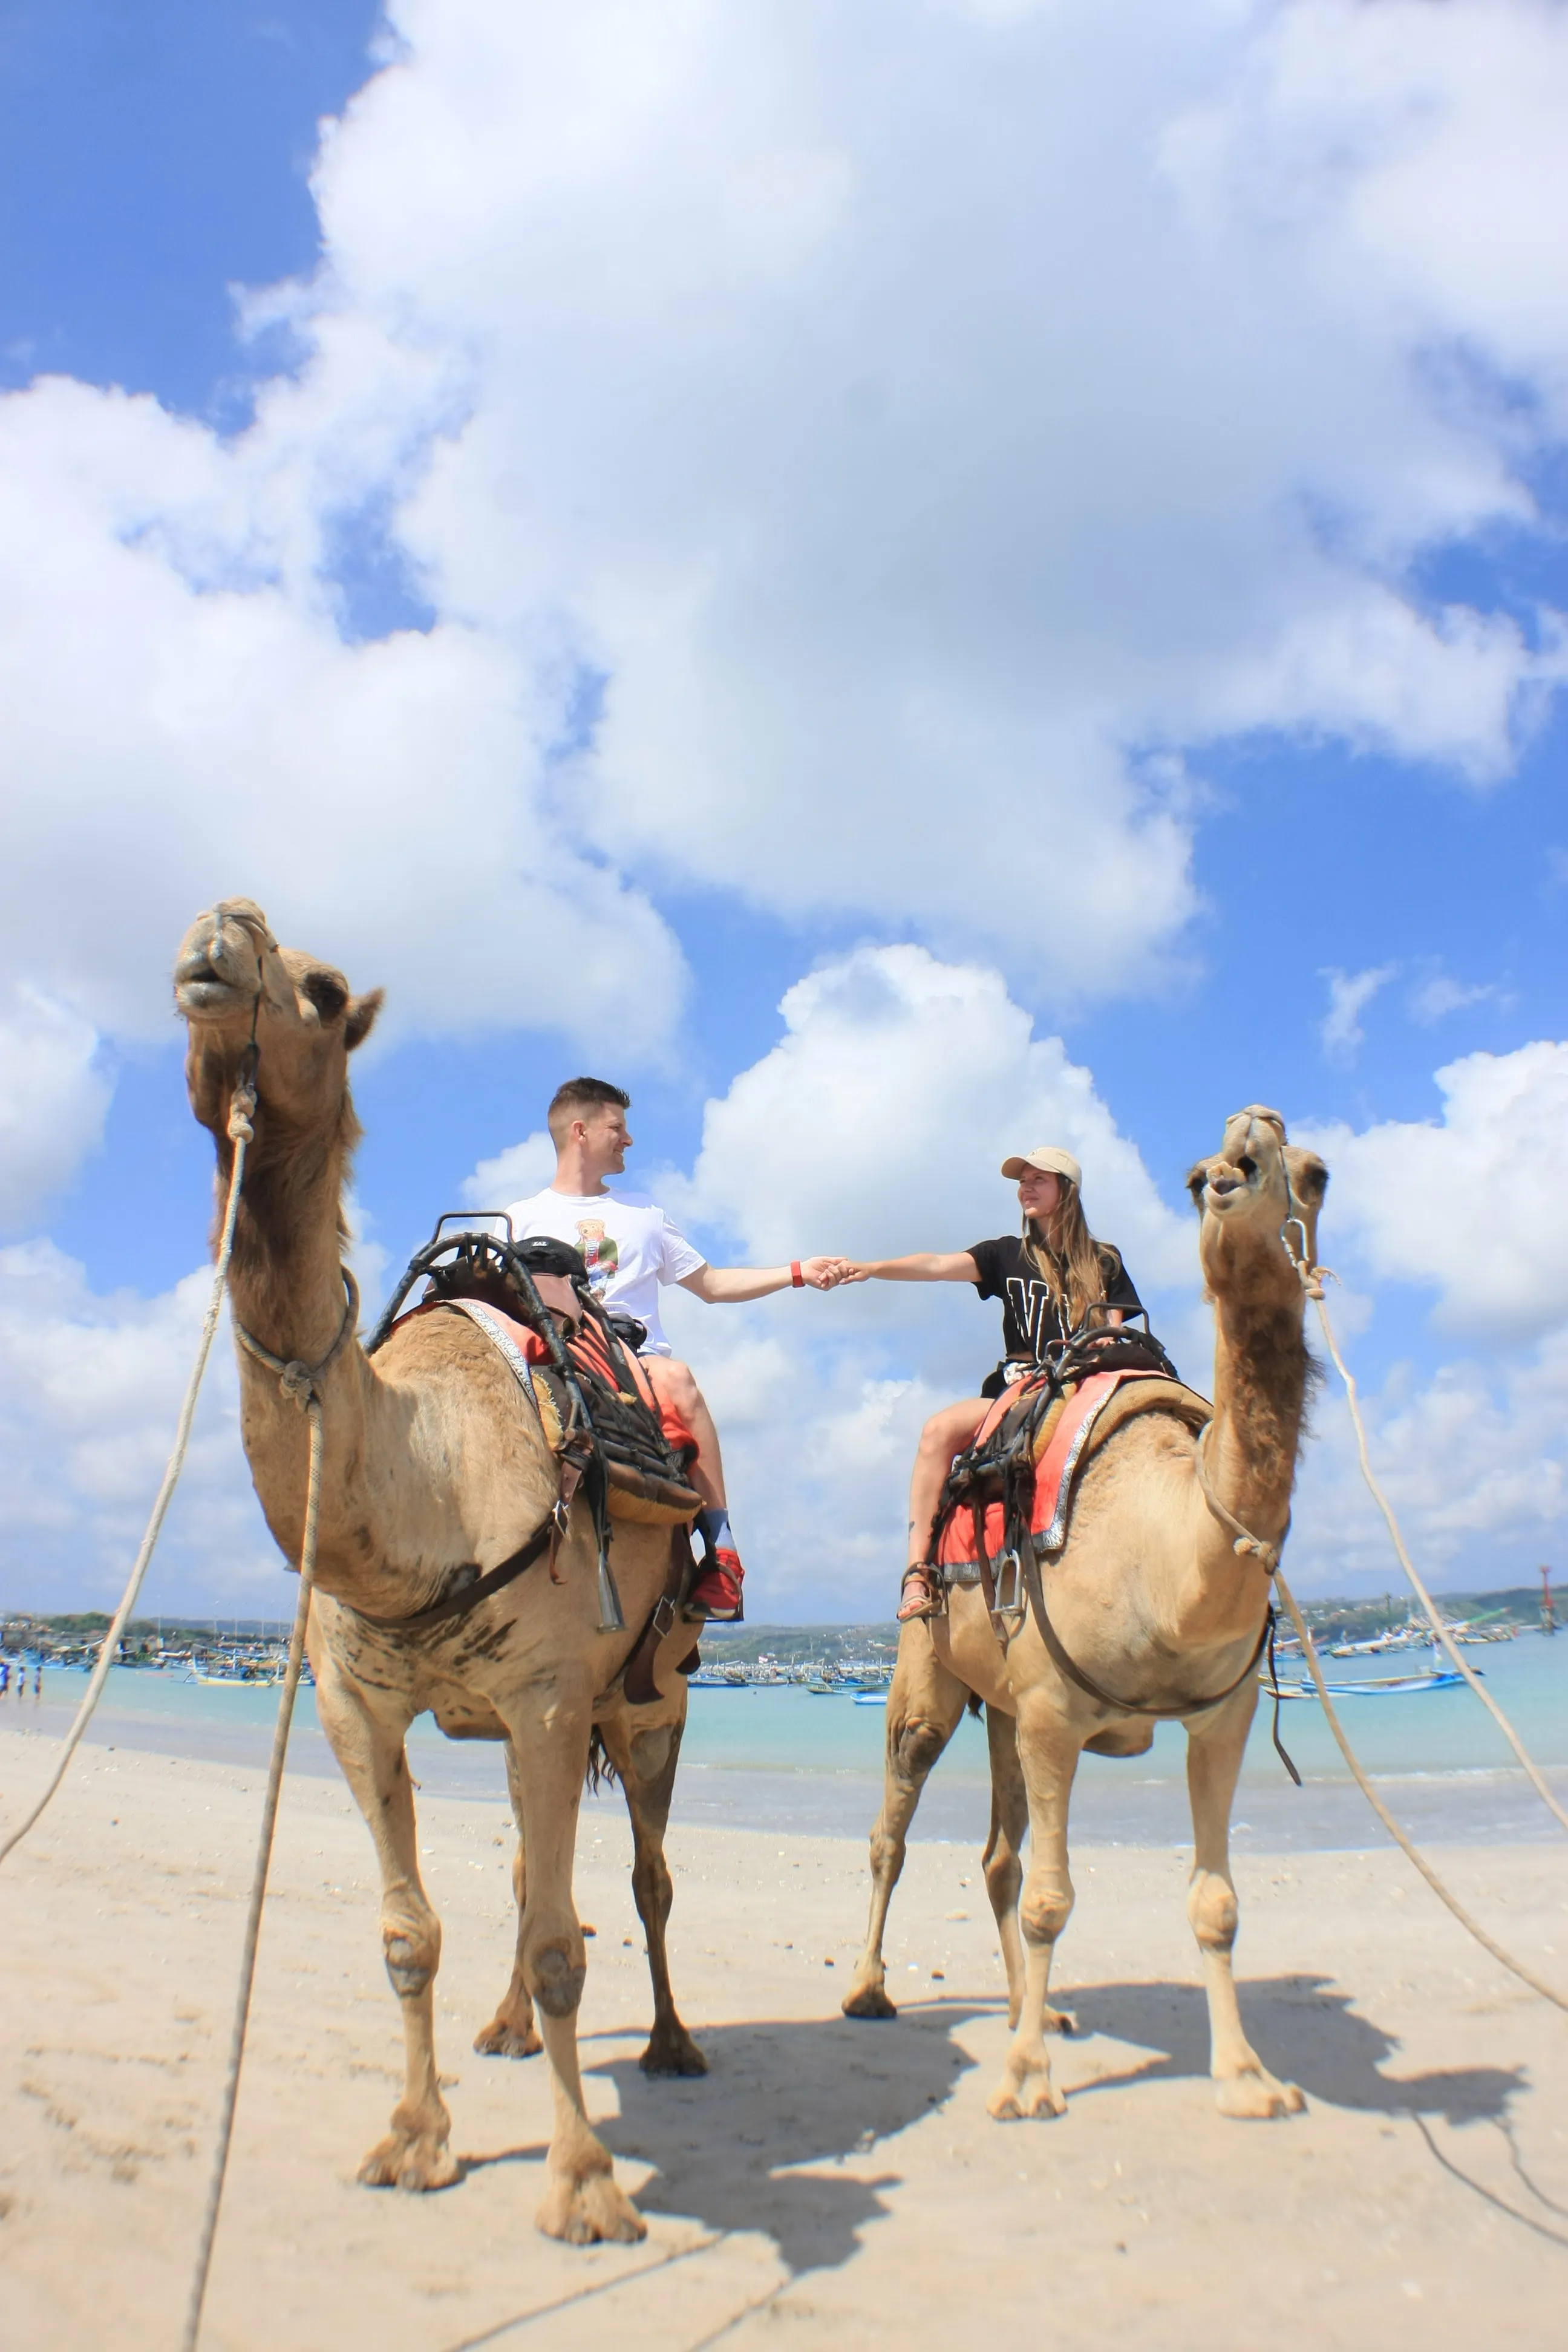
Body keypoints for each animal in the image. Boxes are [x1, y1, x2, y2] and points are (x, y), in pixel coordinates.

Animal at [175, 898, 705, 2244]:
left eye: (320, 989)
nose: (219, 932)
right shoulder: (356, 1705)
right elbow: (410, 1932)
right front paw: (414, 2138)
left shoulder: (554, 1695)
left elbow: (573, 1942)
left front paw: (585, 2187)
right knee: (530, 1870)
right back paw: (506, 2029)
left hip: (652, 1701)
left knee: (648, 1875)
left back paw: (674, 2045)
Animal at [841, 1107, 1327, 2124]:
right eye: (1200, 1175)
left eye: (1317, 1173)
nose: (1248, 1143)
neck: (1168, 1548)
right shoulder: (1057, 1715)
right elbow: (1052, 1901)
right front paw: (1026, 2083)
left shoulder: (1221, 1714)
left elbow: (1215, 1904)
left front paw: (1247, 2079)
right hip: (929, 1675)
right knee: (896, 1824)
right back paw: (869, 1989)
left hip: (1005, 1707)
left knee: (997, 1856)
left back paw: (1033, 2013)